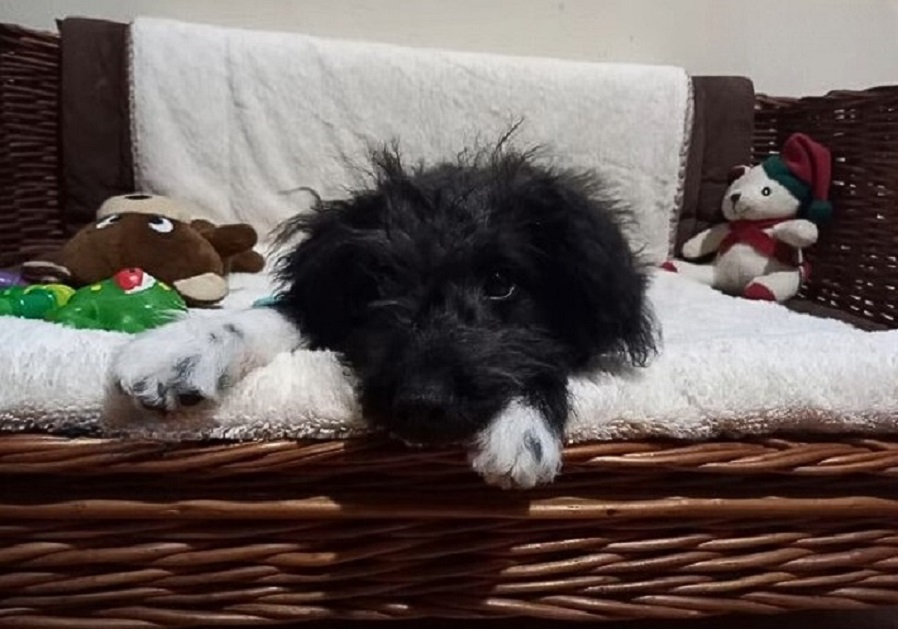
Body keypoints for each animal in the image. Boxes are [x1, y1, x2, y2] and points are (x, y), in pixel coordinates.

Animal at [115, 145, 656, 488]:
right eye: (381, 281)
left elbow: (547, 357)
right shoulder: (327, 307)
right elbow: (278, 315)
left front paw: (523, 432)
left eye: (502, 282)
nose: (421, 404)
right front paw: (178, 349)